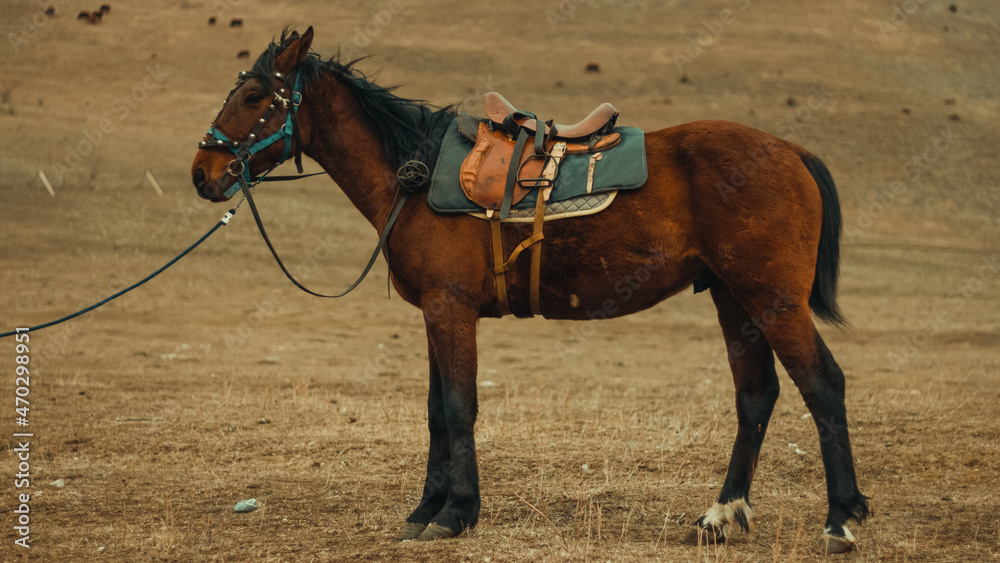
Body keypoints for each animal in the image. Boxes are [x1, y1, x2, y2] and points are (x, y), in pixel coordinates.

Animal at [191, 27, 868, 552]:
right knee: (756, 395)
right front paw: (425, 510)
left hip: (773, 299)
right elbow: (435, 412)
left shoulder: (451, 308)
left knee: (823, 385)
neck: (414, 176)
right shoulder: (436, 312)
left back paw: (840, 520)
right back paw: (721, 517)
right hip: (734, 298)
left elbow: (459, 407)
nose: (202, 173)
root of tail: (792, 151)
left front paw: (456, 514)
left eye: (254, 95)